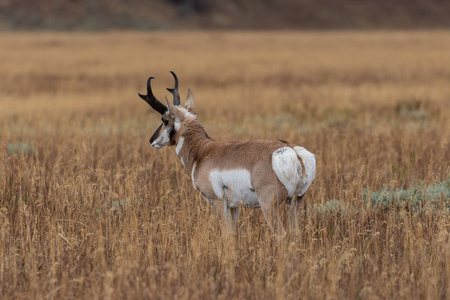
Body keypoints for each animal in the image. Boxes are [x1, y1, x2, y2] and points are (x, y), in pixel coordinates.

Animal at [139, 71, 314, 236]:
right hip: (295, 202)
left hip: (269, 205)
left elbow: (225, 235)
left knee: (281, 235)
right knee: (295, 234)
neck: (202, 151)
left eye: (164, 120)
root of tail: (292, 151)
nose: (151, 140)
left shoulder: (218, 202)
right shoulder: (234, 207)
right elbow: (231, 234)